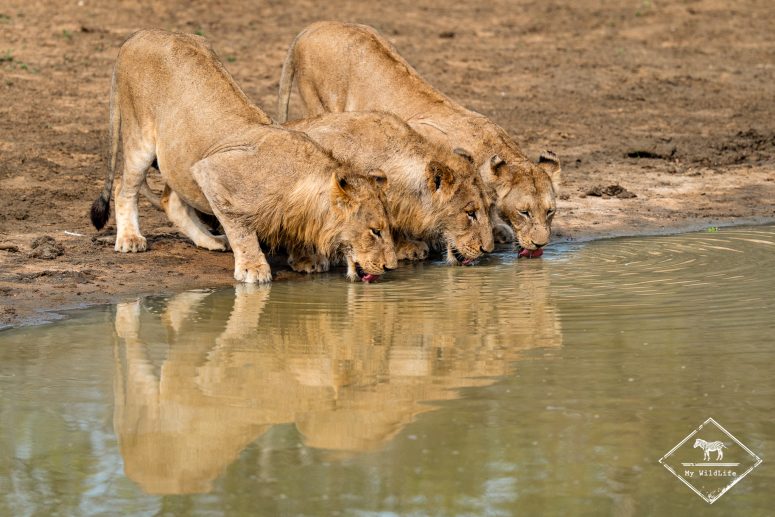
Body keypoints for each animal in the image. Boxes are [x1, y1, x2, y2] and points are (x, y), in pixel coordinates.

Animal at [90, 29, 396, 283]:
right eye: (375, 231)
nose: (391, 267)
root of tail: (140, 34)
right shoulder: (211, 171)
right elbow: (240, 229)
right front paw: (253, 268)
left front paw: (305, 259)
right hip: (140, 138)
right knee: (123, 187)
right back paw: (130, 239)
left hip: (180, 155)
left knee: (172, 201)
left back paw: (211, 241)